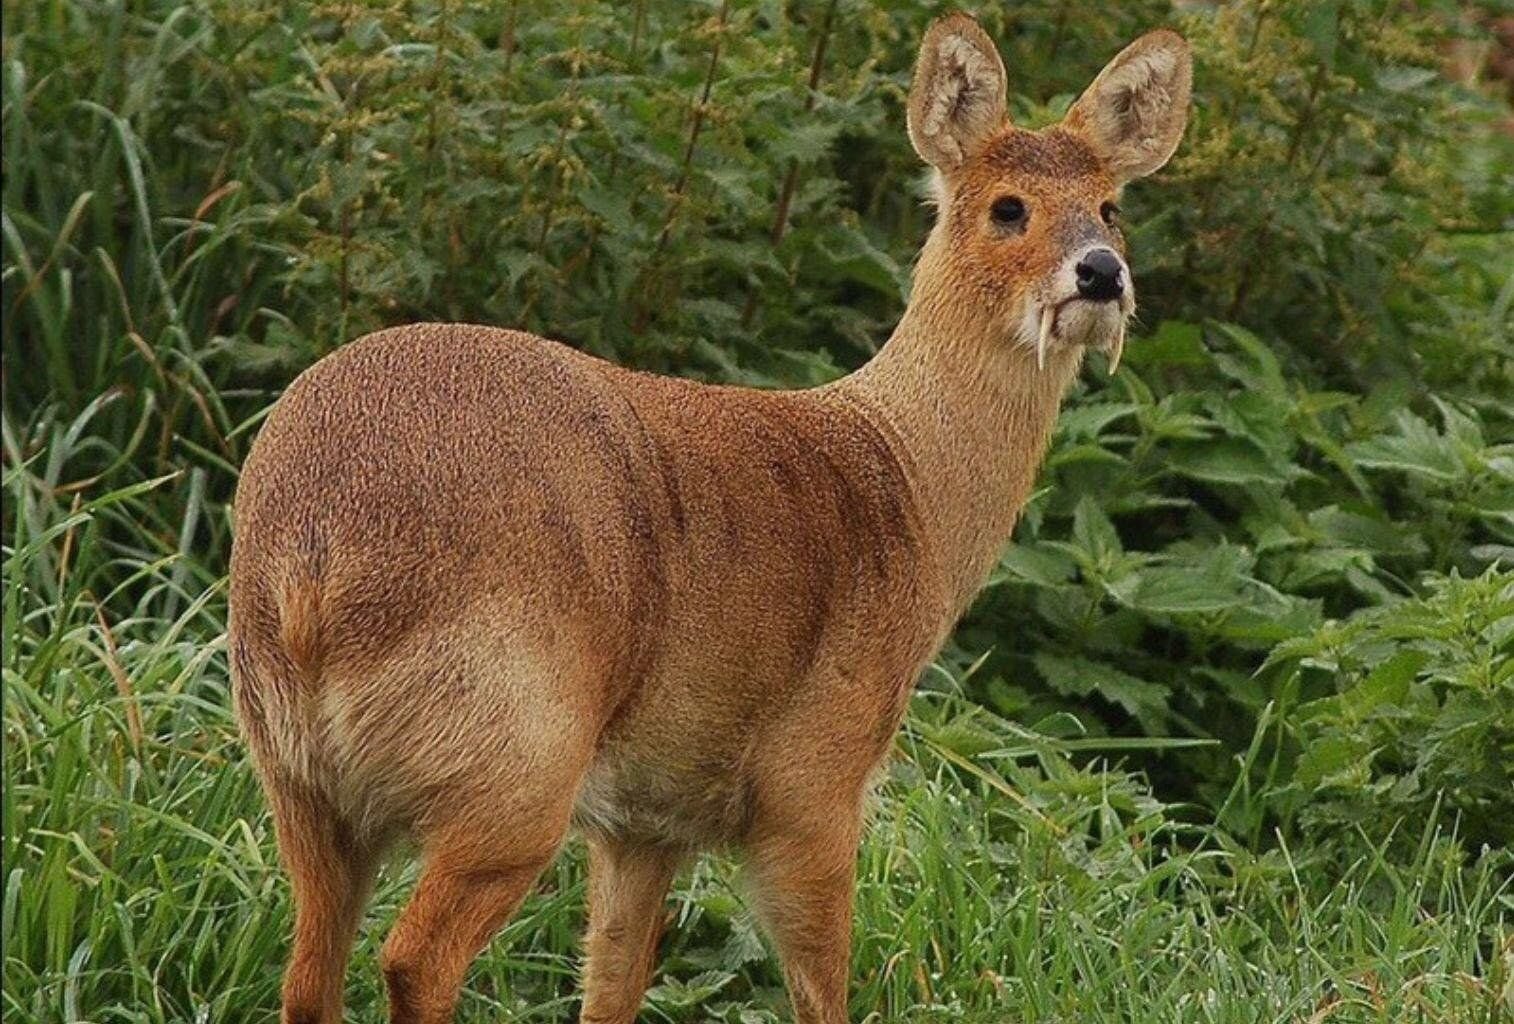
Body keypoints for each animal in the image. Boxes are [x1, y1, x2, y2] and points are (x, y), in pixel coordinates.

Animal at [227, 16, 1193, 1024]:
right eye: (1008, 207)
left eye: (1112, 206)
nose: (1101, 274)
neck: (903, 481)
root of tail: (311, 563)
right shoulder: (814, 781)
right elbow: (822, 985)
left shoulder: (647, 821)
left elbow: (613, 982)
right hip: (510, 765)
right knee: (415, 959)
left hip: (300, 779)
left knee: (308, 977)